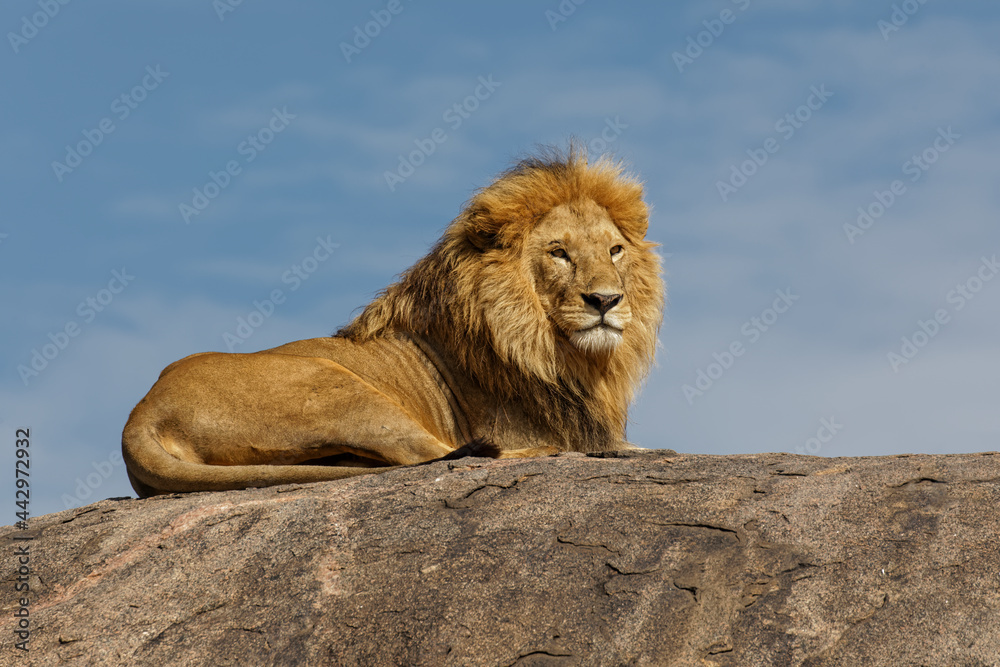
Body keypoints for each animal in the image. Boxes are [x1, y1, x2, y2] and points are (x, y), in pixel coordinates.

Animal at [122, 146, 664, 497]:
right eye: (558, 253)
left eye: (614, 250)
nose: (606, 300)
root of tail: (141, 413)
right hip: (339, 389)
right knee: (433, 456)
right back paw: (545, 452)